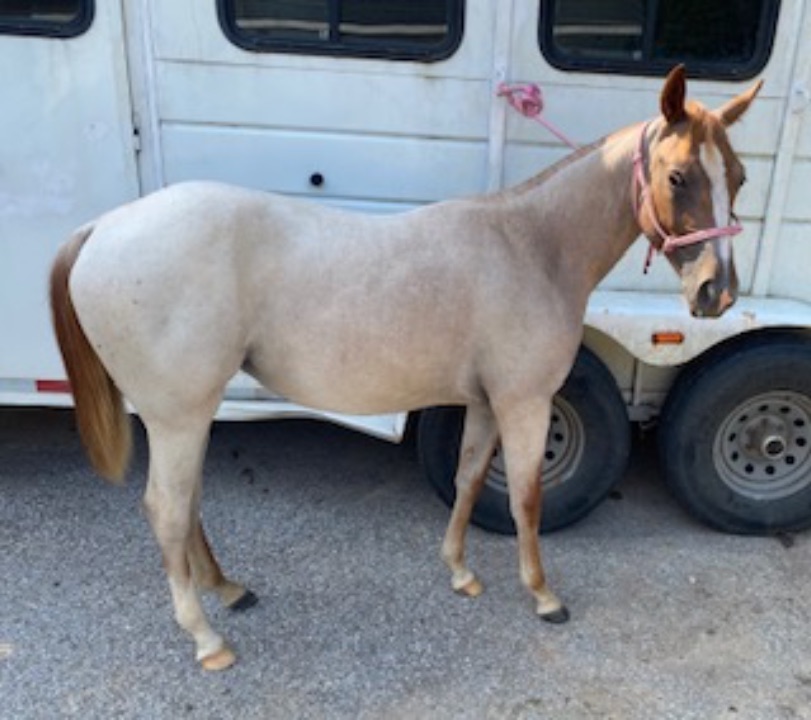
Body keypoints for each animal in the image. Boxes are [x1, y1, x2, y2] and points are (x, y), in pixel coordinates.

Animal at [50, 66, 761, 670]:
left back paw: (228, 589)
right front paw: (543, 596)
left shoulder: (484, 403)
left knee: (188, 502)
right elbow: (526, 496)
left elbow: (471, 478)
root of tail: (103, 228)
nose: (716, 293)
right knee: (167, 510)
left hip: (188, 416)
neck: (531, 247)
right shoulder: (525, 403)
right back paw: (206, 638)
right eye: (677, 176)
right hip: (178, 416)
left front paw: (461, 572)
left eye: (738, 176)